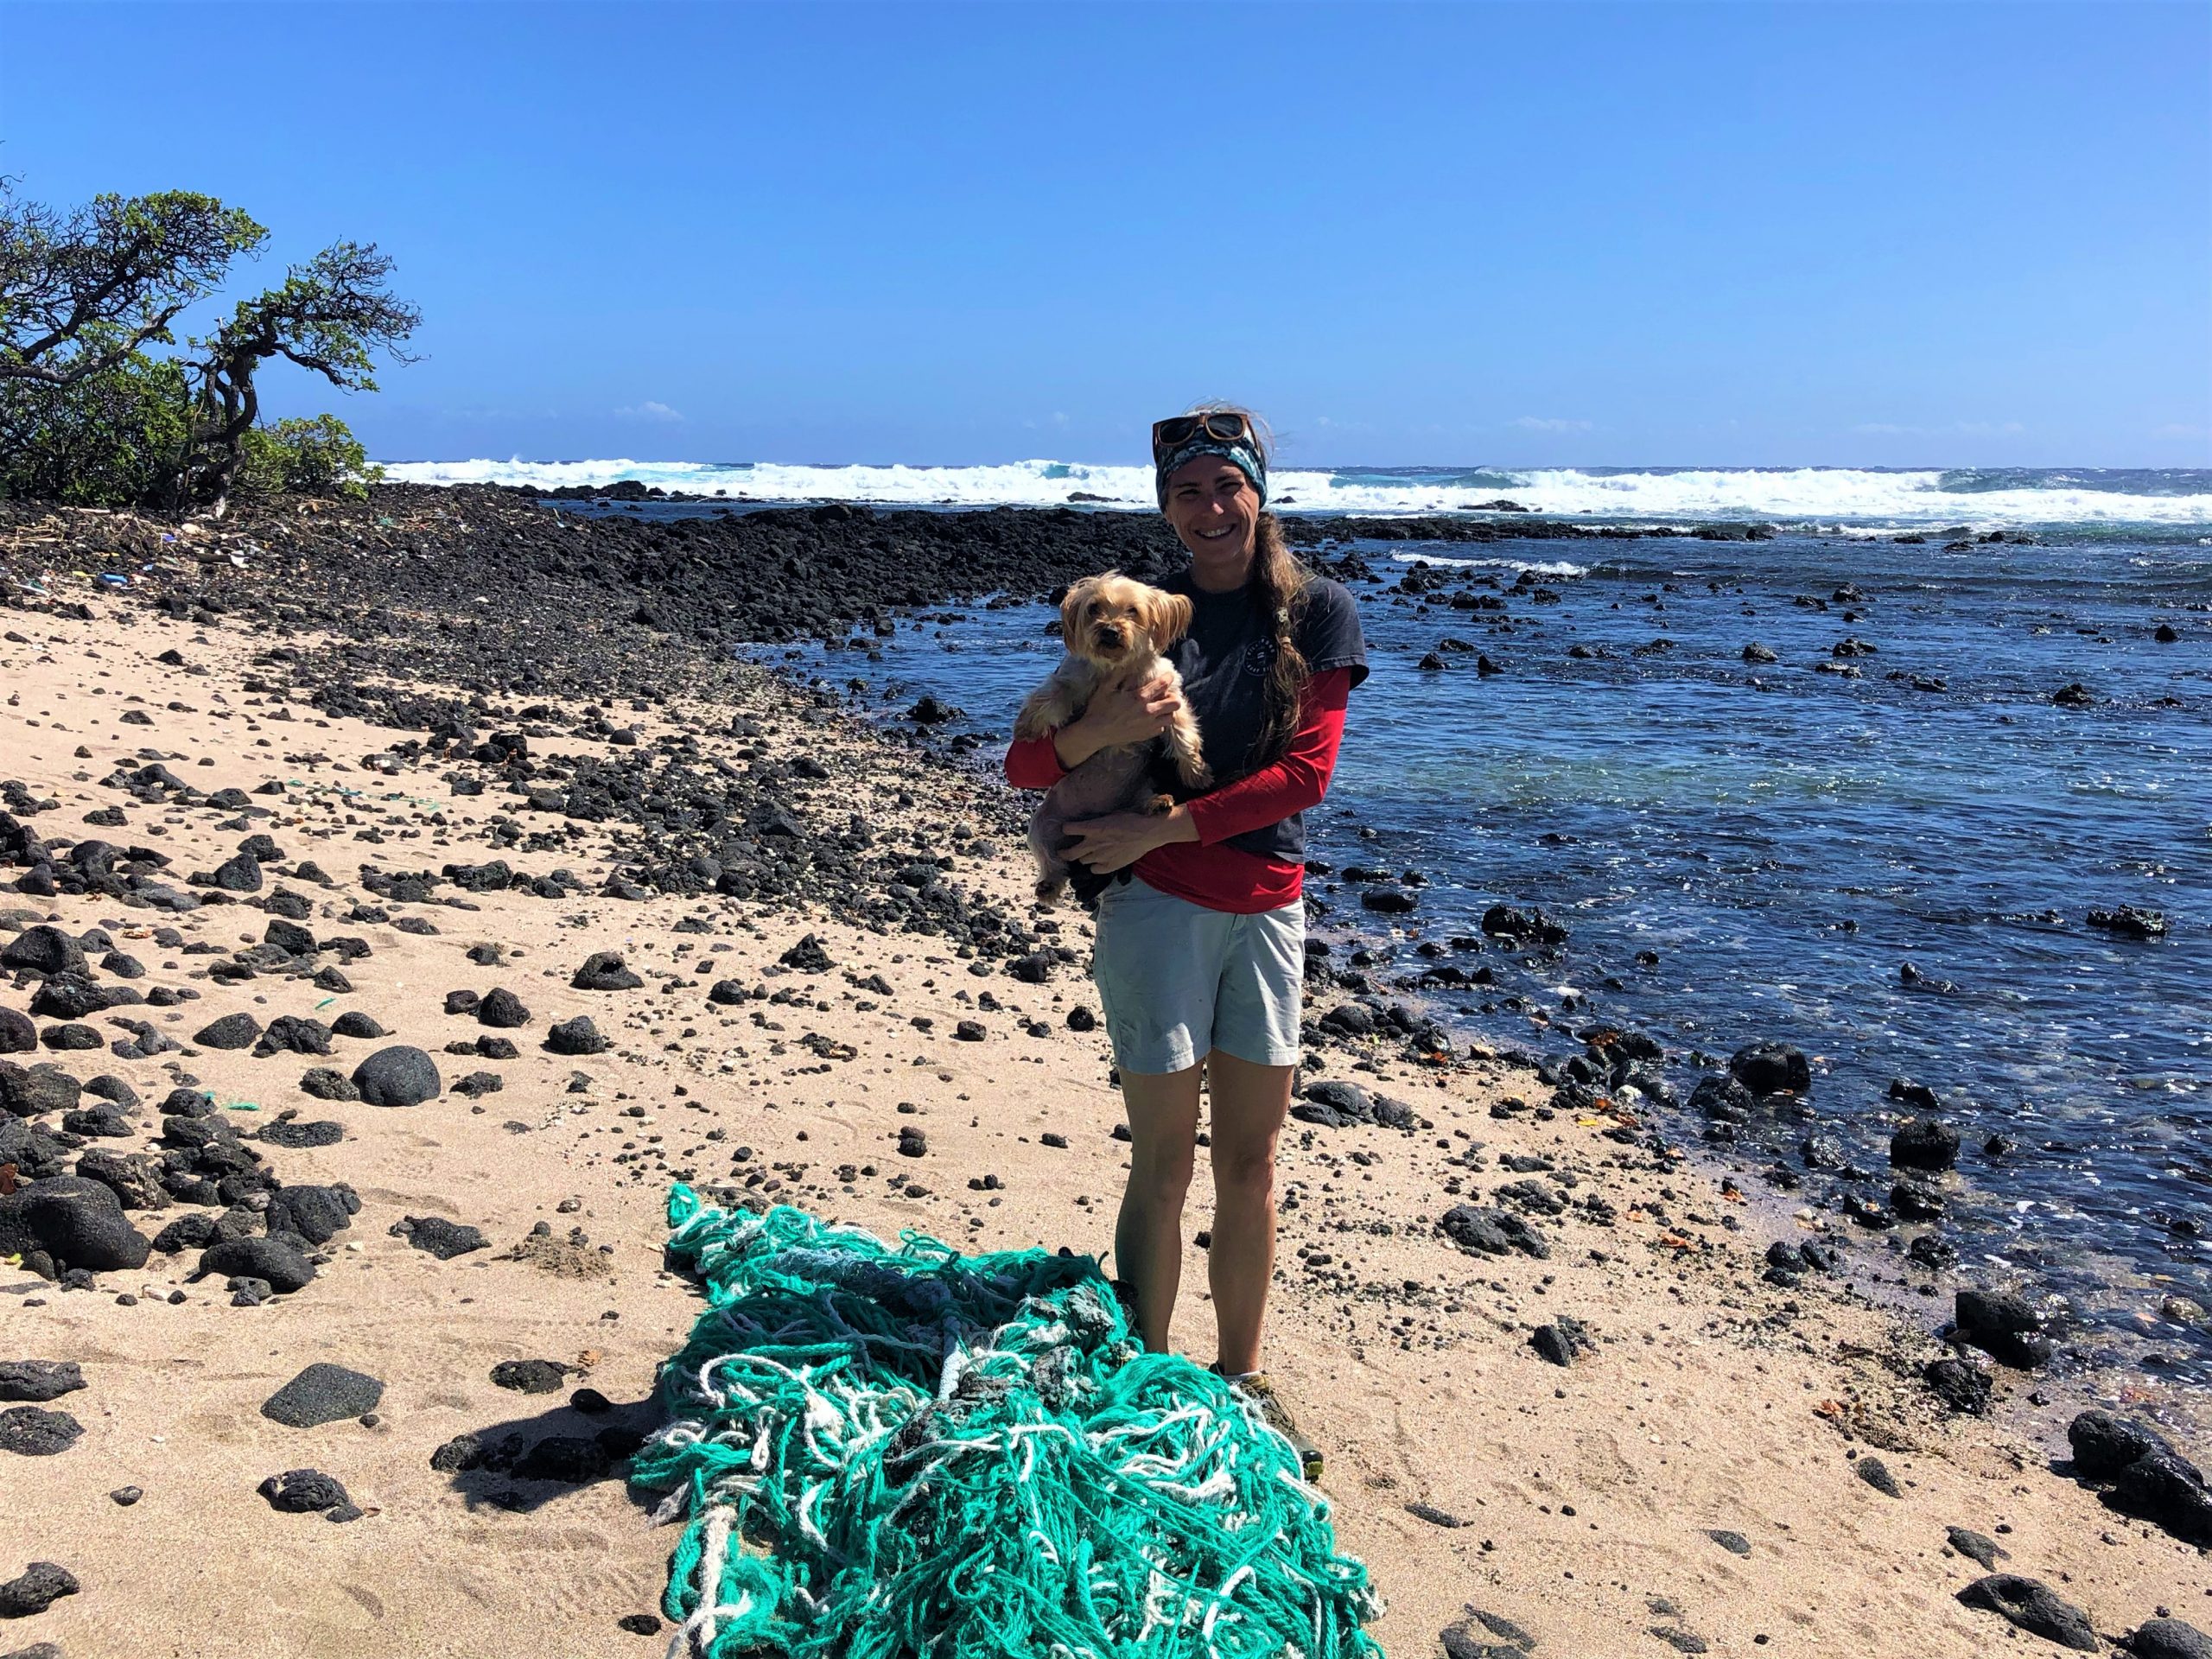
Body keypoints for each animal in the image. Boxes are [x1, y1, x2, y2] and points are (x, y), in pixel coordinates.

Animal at [1013, 575, 1211, 911]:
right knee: (1052, 860)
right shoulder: (1073, 681)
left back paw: (1158, 803)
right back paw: (1048, 886)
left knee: (1139, 806)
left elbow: (1184, 735)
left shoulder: (1168, 697)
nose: (1109, 630)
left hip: (1138, 790)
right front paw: (1026, 725)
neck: (1117, 667)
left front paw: (1197, 772)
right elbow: (1049, 695)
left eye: (1133, 610)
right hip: (1041, 826)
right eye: (1094, 608)